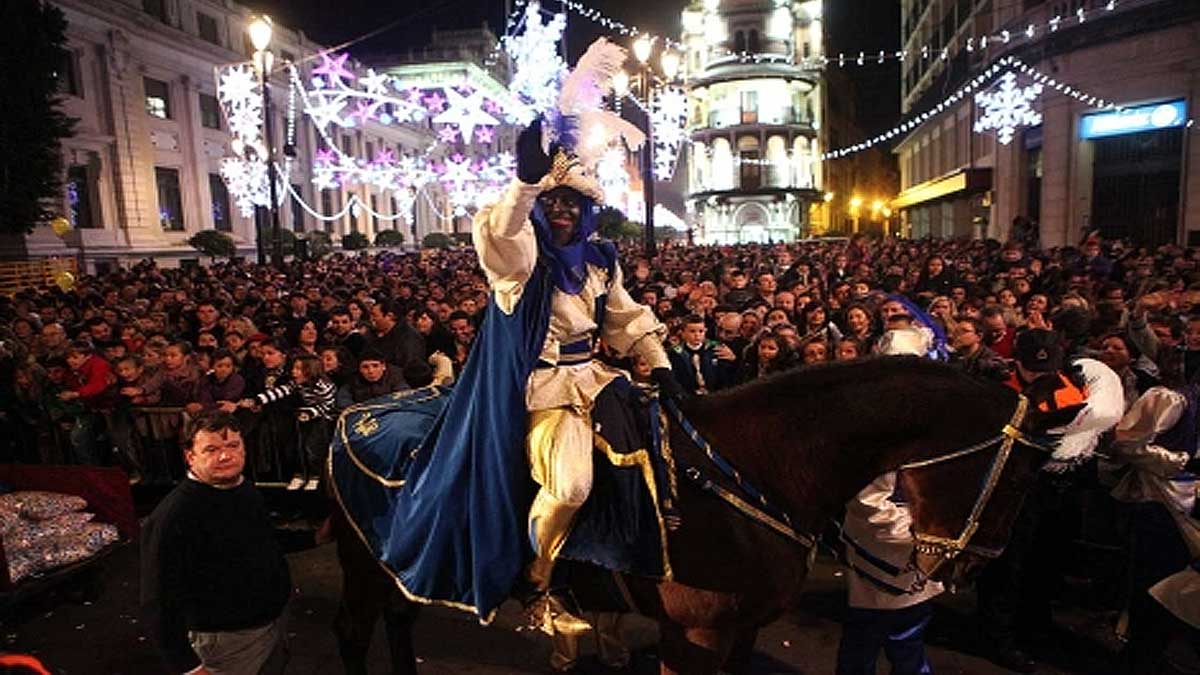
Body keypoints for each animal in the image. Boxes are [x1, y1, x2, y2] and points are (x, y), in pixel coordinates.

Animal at [333, 355, 1084, 667]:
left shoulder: (740, 630)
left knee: (398, 624)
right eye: (1019, 480)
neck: (752, 464)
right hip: (362, 569)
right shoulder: (691, 633)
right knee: (356, 634)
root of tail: (350, 414)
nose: (966, 568)